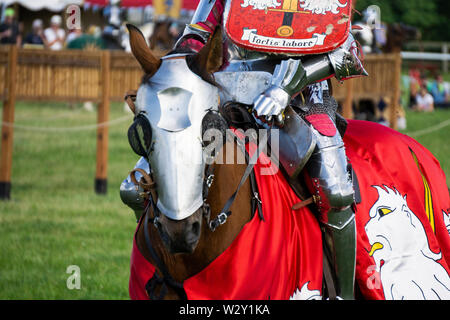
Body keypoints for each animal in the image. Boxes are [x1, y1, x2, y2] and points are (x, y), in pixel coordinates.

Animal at [124, 25, 450, 300]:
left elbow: (344, 47)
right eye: (141, 128)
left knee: (336, 199)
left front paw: (275, 94)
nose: (179, 232)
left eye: (211, 128)